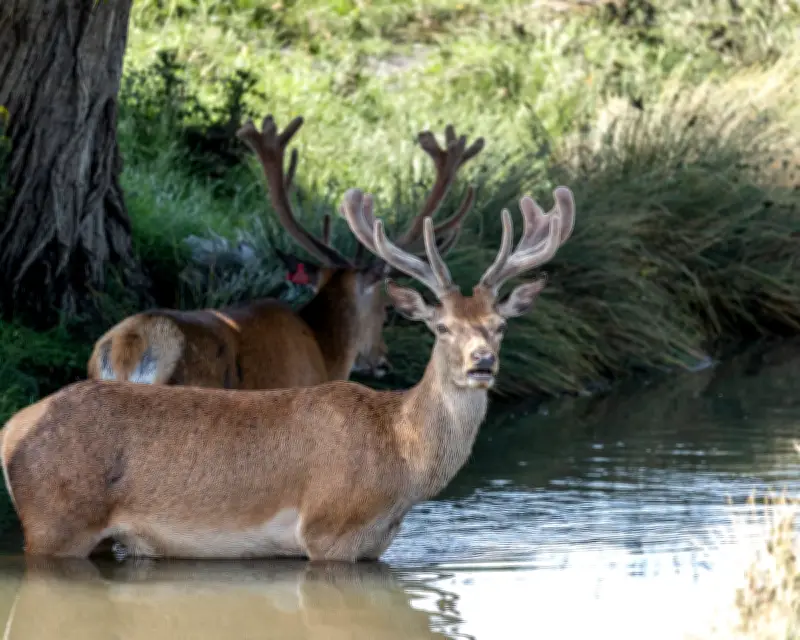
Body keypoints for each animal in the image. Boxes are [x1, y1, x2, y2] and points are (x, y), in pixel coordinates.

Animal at [0, 184, 576, 560]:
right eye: (441, 327)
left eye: (500, 325)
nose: (482, 361)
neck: (401, 461)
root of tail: (11, 428)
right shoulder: (328, 530)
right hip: (55, 522)